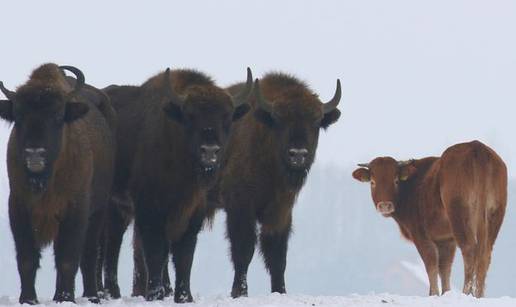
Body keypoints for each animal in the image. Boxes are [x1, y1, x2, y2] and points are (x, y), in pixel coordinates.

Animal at [0, 63, 115, 304]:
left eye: (58, 116)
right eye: (18, 116)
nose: (35, 154)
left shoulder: (76, 209)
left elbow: (68, 259)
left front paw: (66, 298)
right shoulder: (19, 206)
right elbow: (27, 258)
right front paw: (28, 299)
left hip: (98, 211)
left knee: (89, 255)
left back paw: (91, 296)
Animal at [100, 68, 253, 304]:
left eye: (226, 117)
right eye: (190, 116)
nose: (210, 151)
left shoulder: (193, 214)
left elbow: (184, 256)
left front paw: (184, 297)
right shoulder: (150, 211)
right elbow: (156, 252)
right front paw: (155, 295)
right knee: (111, 244)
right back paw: (111, 293)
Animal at [214, 72, 342, 298]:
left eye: (316, 121)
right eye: (280, 119)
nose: (298, 154)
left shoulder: (281, 210)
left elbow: (277, 255)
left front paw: (280, 292)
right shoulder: (239, 206)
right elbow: (244, 249)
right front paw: (240, 293)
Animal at [352, 141, 506, 298]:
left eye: (395, 181)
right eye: (372, 182)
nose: (384, 205)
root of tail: (477, 147)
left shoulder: (421, 235)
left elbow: (431, 263)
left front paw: (433, 293)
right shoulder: (446, 240)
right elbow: (444, 268)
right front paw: (446, 293)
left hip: (459, 215)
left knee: (469, 249)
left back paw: (466, 293)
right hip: (494, 216)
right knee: (485, 254)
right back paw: (479, 295)